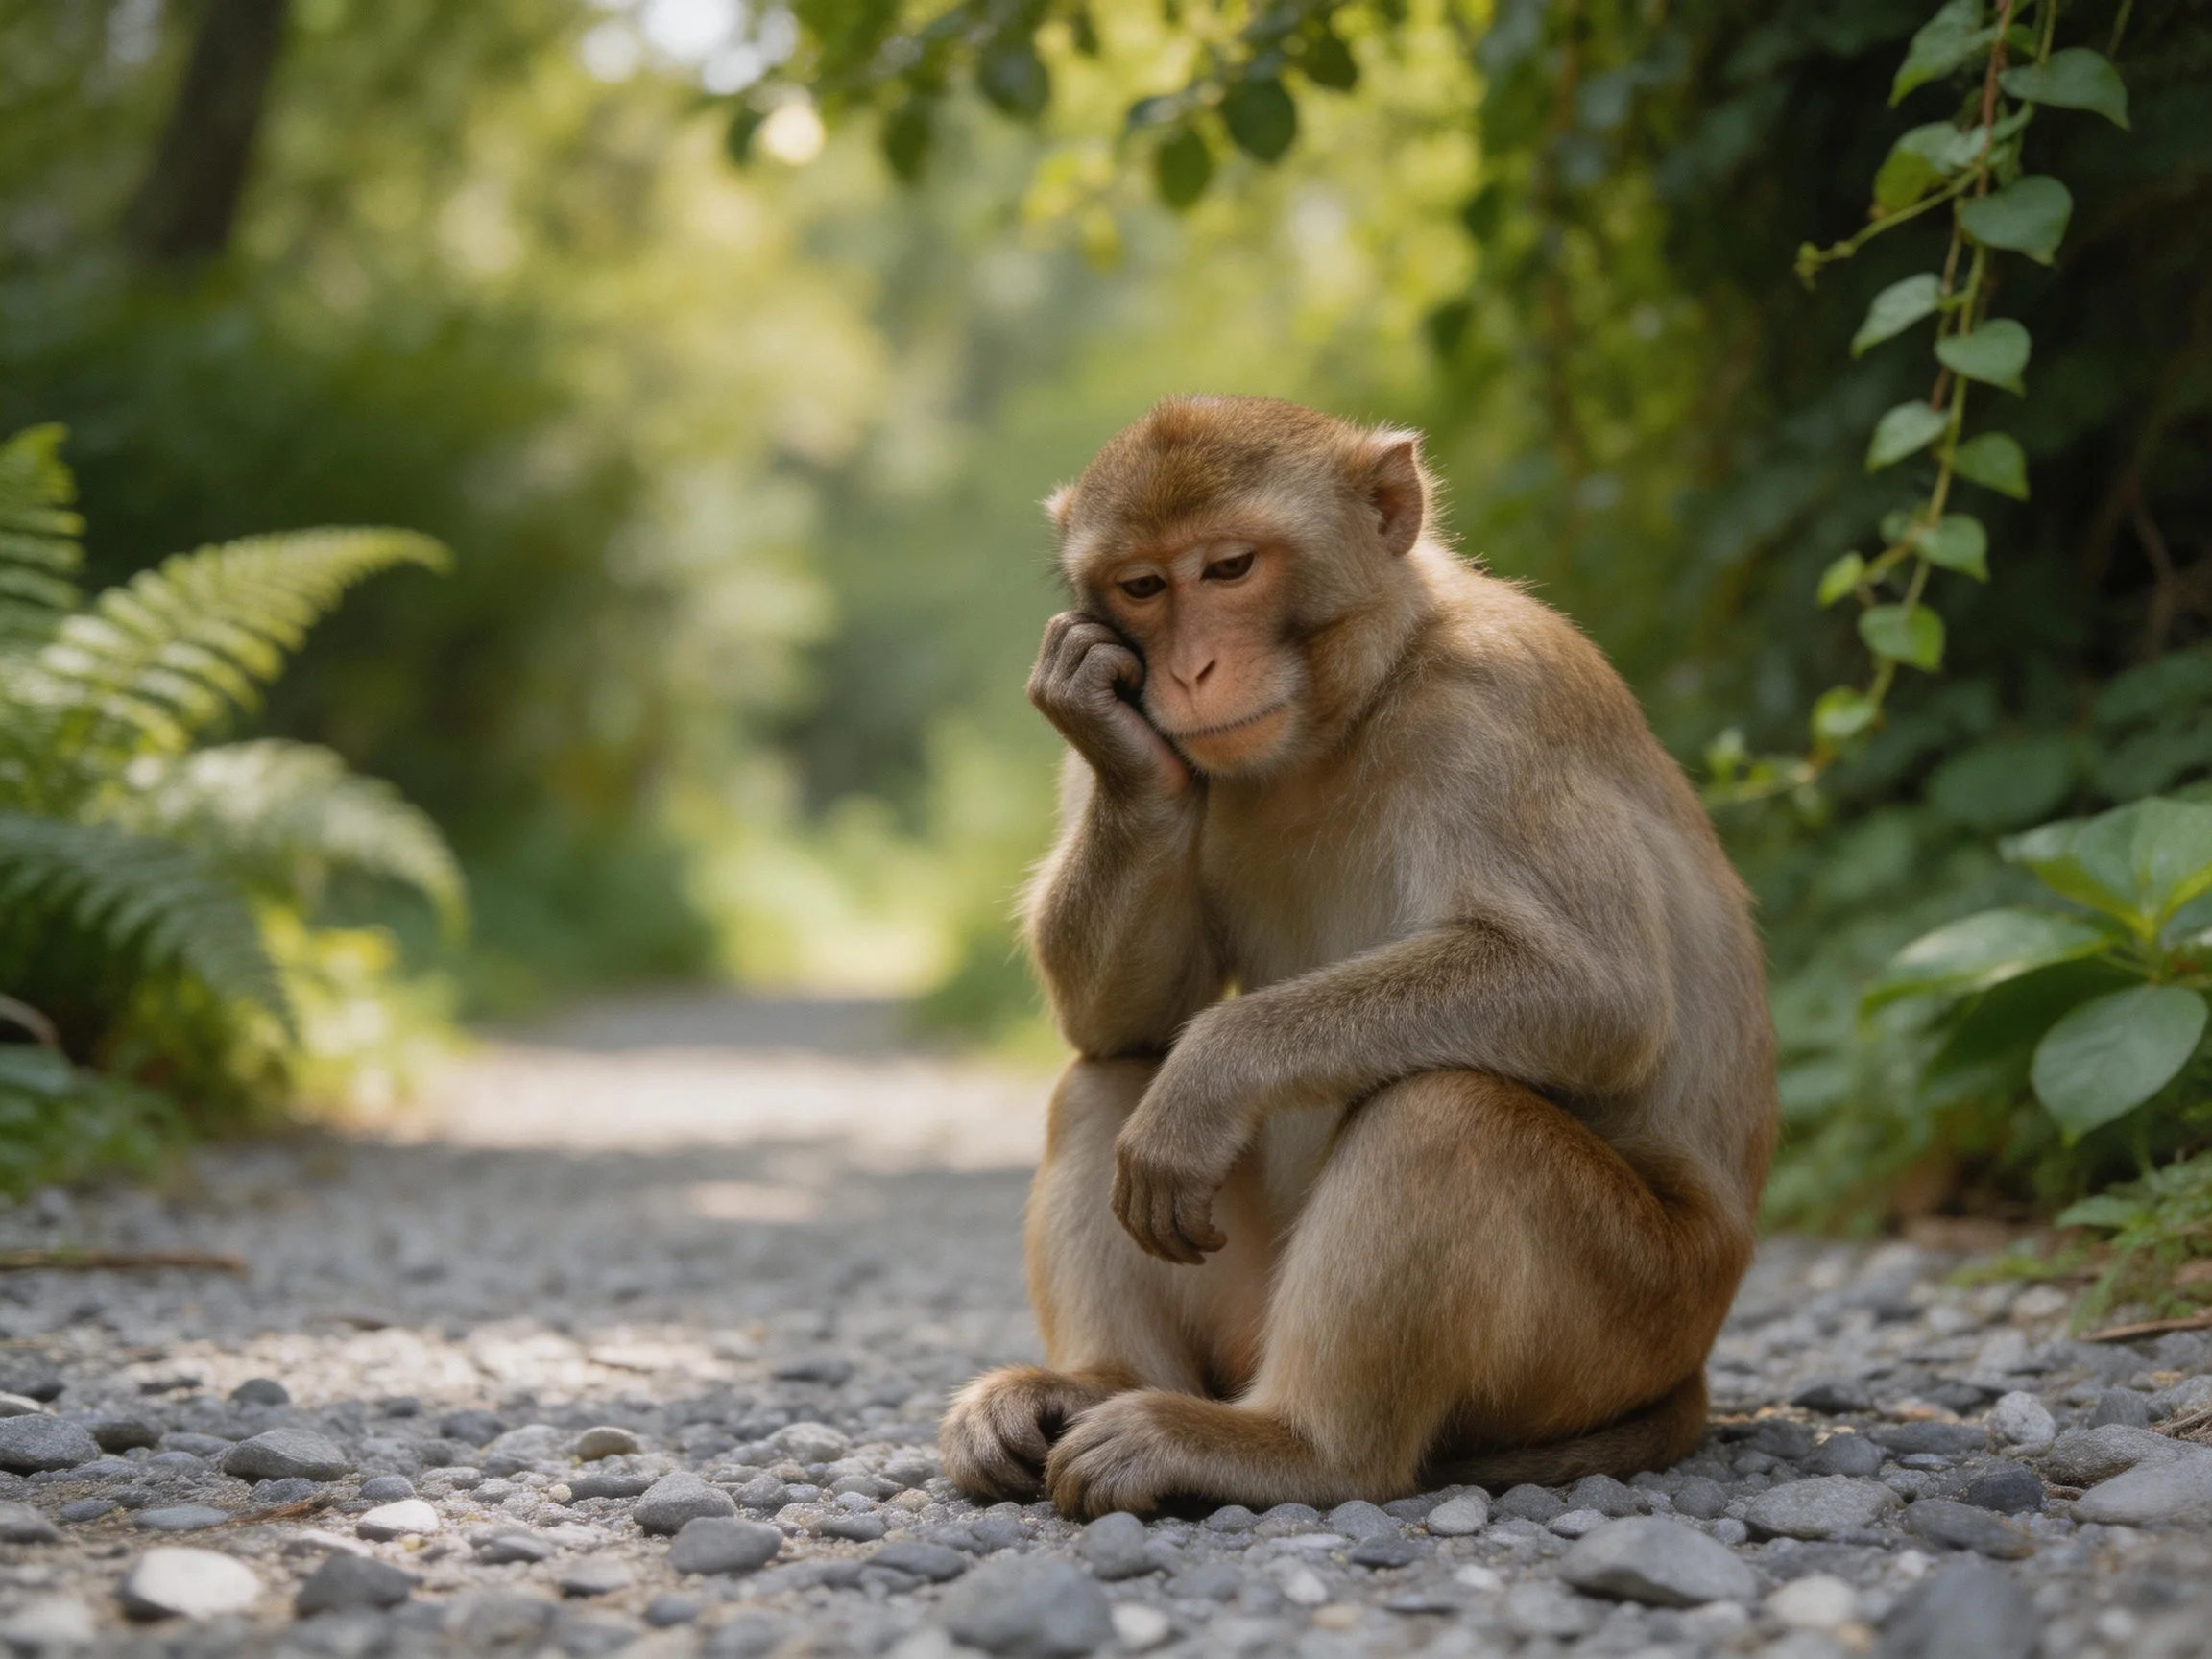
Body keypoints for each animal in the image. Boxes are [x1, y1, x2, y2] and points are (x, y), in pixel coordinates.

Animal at [939, 395, 1776, 1517]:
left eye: (1231, 567)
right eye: (1143, 587)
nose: (1189, 671)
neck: (1353, 706)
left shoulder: (1500, 700)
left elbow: (1596, 991)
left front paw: (1215, 1068)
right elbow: (1119, 1019)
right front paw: (1107, 727)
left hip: (1626, 1321)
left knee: (1446, 1115)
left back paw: (1296, 1447)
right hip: (1244, 1306)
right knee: (1104, 1076)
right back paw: (1093, 1386)